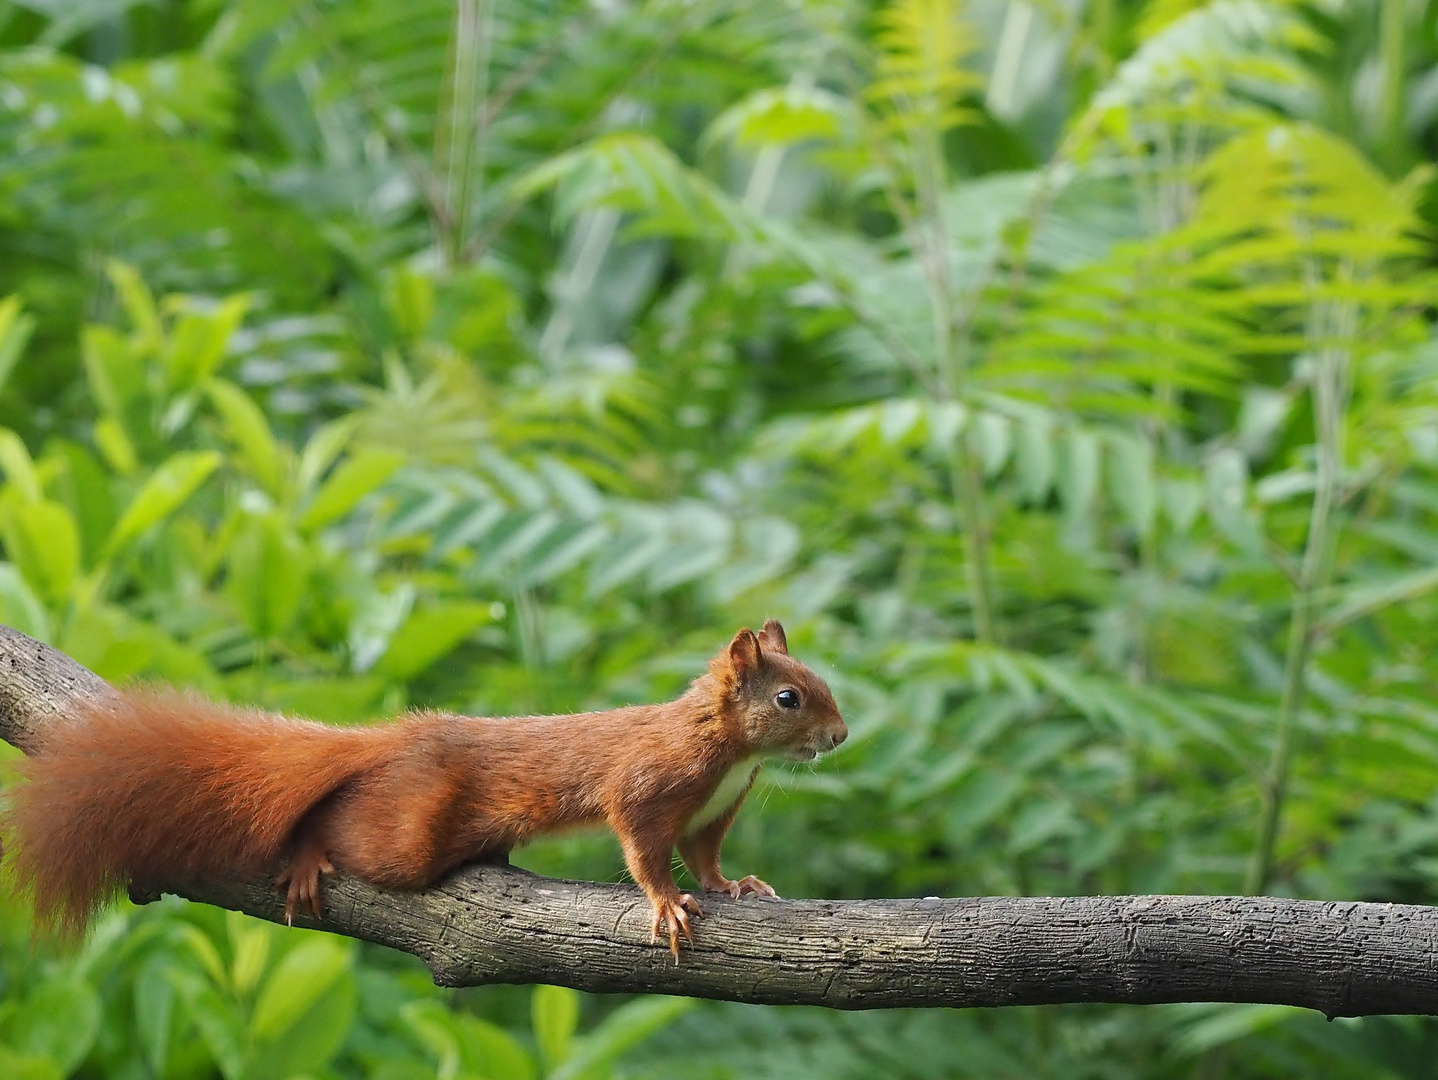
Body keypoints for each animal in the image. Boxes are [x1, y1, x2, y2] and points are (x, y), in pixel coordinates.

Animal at [2, 621, 839, 960]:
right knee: (339, 827)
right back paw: (306, 858)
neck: (731, 753)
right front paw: (665, 906)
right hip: (406, 832)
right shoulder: (649, 783)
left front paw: (736, 886)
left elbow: (706, 858)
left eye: (819, 682)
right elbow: (643, 849)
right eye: (789, 698)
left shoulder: (712, 811)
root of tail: (400, 739)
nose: (840, 736)